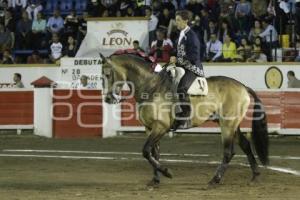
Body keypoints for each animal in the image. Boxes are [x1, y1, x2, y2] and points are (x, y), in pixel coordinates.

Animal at [99, 52, 270, 187]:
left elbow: (146, 151)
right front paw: (155, 180)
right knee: (246, 145)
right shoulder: (150, 128)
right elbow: (154, 153)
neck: (152, 87)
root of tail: (242, 86)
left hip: (227, 125)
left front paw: (167, 172)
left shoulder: (160, 127)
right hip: (233, 125)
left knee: (229, 152)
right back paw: (255, 176)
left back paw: (215, 180)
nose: (108, 99)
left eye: (108, 74)